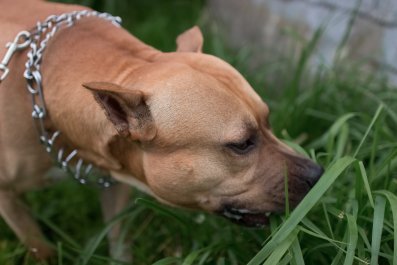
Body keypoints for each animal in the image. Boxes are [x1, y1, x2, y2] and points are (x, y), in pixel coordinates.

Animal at [0, 0, 322, 260]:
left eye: (268, 120)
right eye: (242, 144)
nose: (317, 174)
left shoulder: (116, 182)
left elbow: (119, 240)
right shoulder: (8, 199)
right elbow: (39, 247)